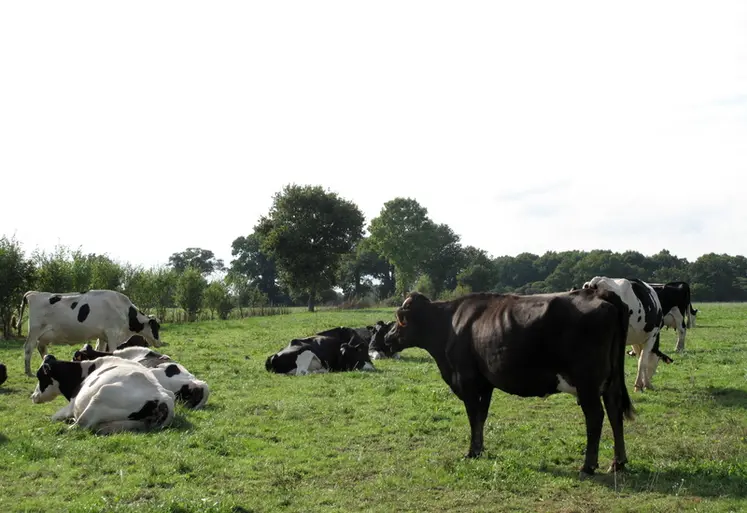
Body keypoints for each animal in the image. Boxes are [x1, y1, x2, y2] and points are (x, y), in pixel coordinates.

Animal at [15, 290, 162, 376]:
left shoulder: (102, 336)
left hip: (44, 335)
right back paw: (28, 371)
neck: (125, 311)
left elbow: (101, 349)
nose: (159, 343)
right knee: (28, 348)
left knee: (41, 349)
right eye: (157, 327)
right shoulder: (112, 334)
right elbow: (113, 351)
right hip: (34, 331)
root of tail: (33, 293)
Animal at [31, 354, 175, 434]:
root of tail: (163, 399)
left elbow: (54, 417)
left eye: (40, 376)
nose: (33, 396)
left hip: (101, 395)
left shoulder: (72, 404)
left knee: (77, 426)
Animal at [379, 289, 634, 477]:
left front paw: (471, 452)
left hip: (587, 382)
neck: (449, 324)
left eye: (399, 320)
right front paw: (479, 449)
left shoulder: (466, 380)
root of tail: (599, 293)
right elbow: (481, 417)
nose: (387, 338)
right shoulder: (485, 383)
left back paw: (588, 466)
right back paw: (618, 462)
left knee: (596, 417)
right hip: (611, 382)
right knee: (615, 411)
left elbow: (473, 416)